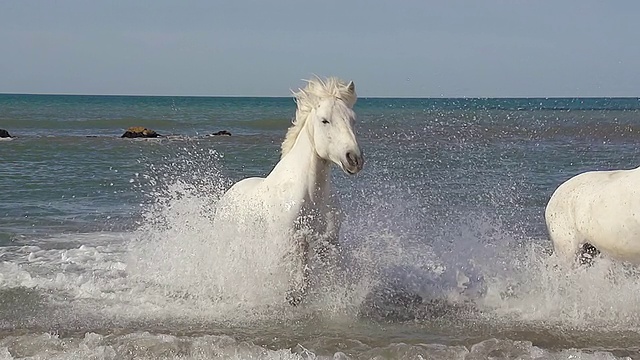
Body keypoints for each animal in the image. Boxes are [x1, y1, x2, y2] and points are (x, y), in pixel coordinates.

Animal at [215, 76, 364, 304]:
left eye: (352, 119)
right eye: (324, 120)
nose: (354, 158)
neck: (312, 196)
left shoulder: (326, 243)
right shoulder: (291, 244)